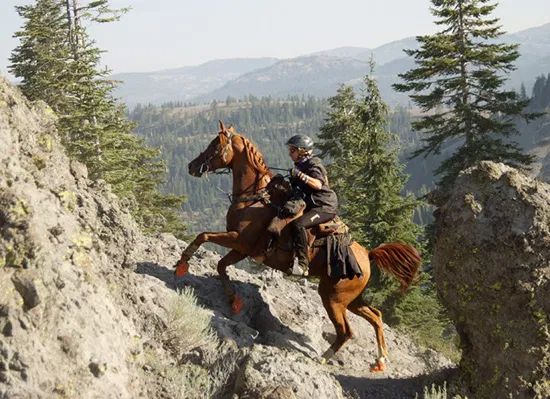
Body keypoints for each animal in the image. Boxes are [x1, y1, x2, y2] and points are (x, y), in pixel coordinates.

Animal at [177, 121, 422, 372]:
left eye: (215, 145)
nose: (191, 166)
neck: (255, 199)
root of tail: (368, 255)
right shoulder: (241, 249)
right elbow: (220, 265)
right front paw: (234, 301)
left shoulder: (239, 241)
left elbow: (203, 236)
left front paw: (182, 265)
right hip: (351, 298)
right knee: (376, 315)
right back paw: (380, 360)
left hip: (333, 298)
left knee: (346, 331)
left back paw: (324, 357)